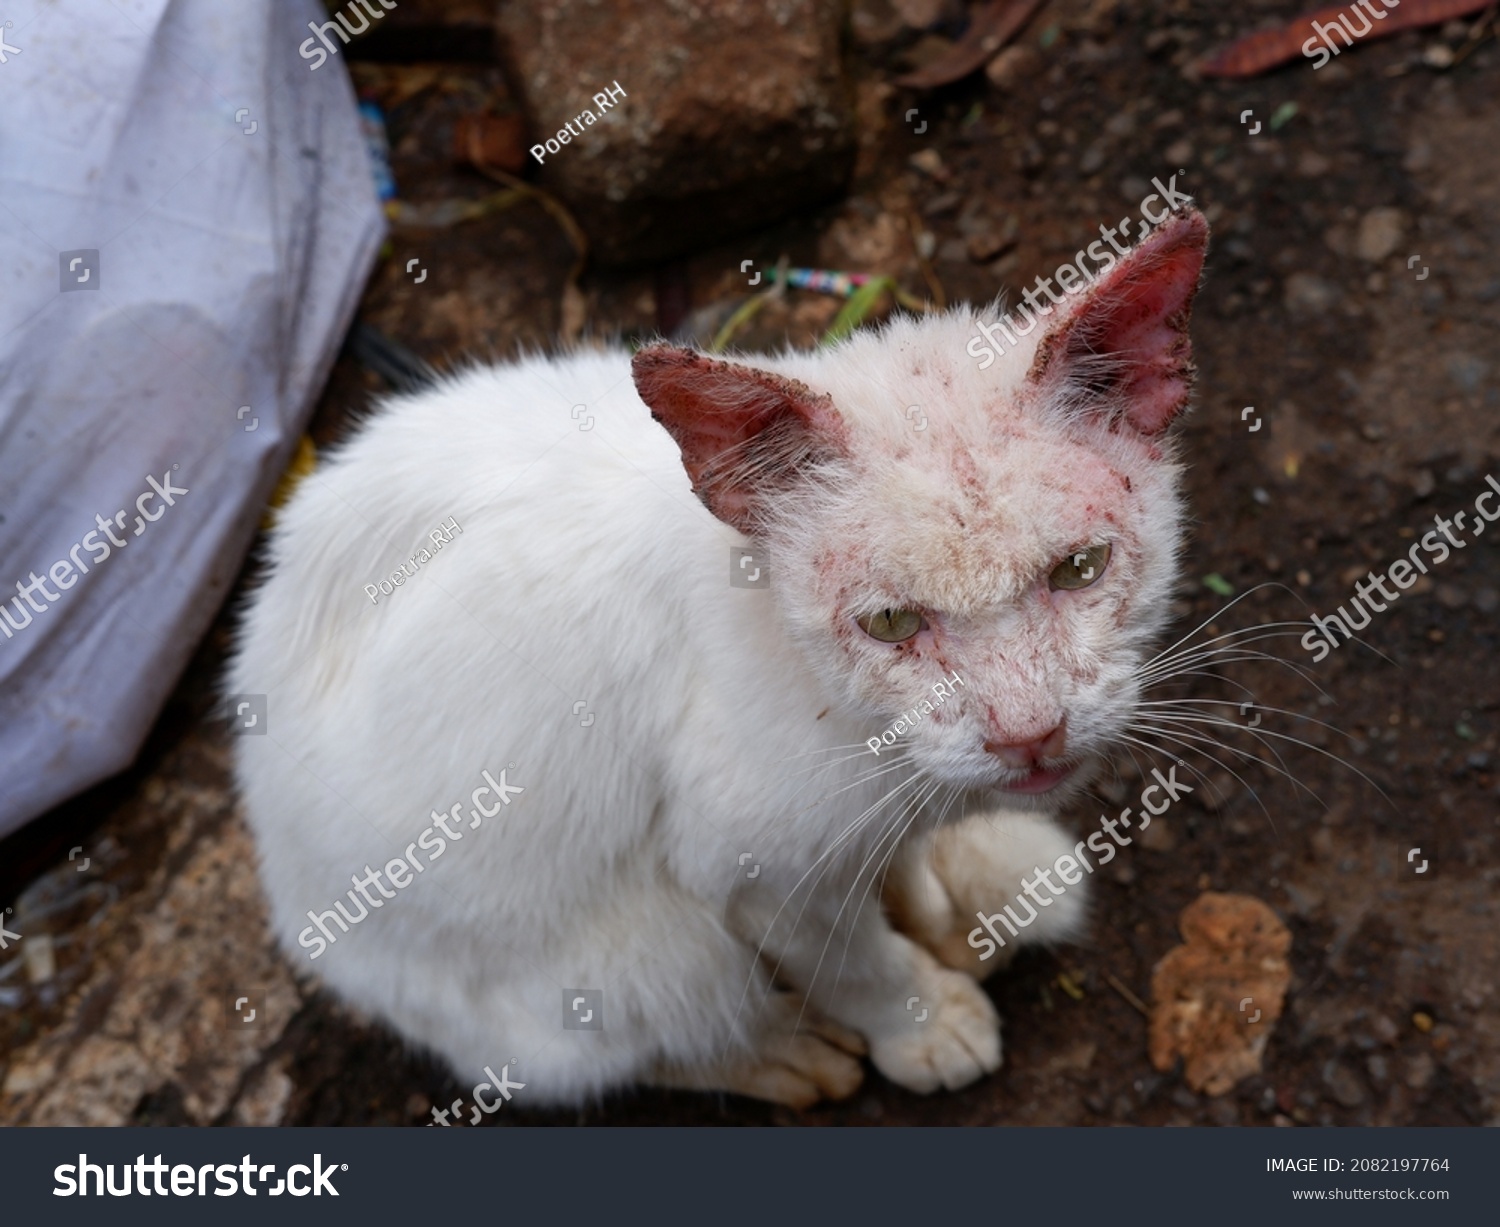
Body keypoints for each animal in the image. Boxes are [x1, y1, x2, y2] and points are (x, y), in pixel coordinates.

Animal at [231, 205, 1206, 1104]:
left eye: (1079, 568)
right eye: (892, 622)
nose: (1028, 733)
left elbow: (895, 869)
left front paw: (935, 919)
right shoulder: (748, 870)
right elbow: (854, 962)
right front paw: (921, 1022)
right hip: (633, 957)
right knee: (608, 1046)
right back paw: (778, 1050)